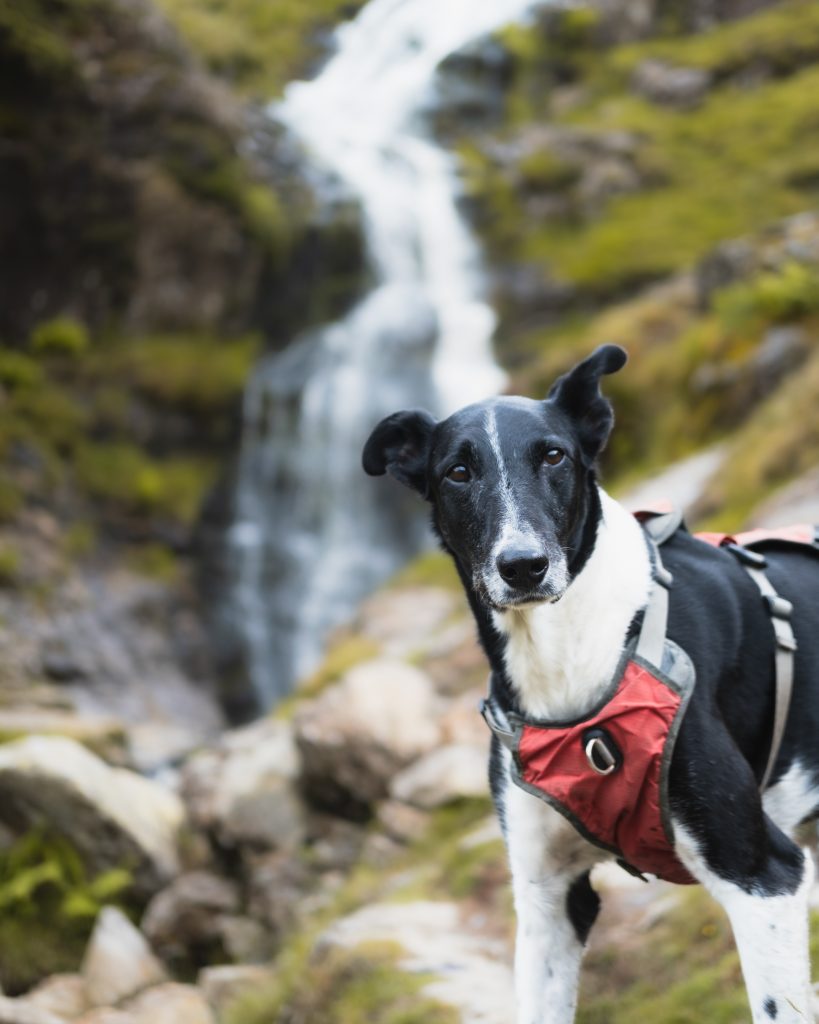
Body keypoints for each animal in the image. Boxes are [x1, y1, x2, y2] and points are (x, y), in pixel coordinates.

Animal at [364, 346, 818, 1024]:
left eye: (554, 456)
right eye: (457, 472)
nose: (523, 566)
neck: (567, 656)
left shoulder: (763, 876)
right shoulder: (547, 904)